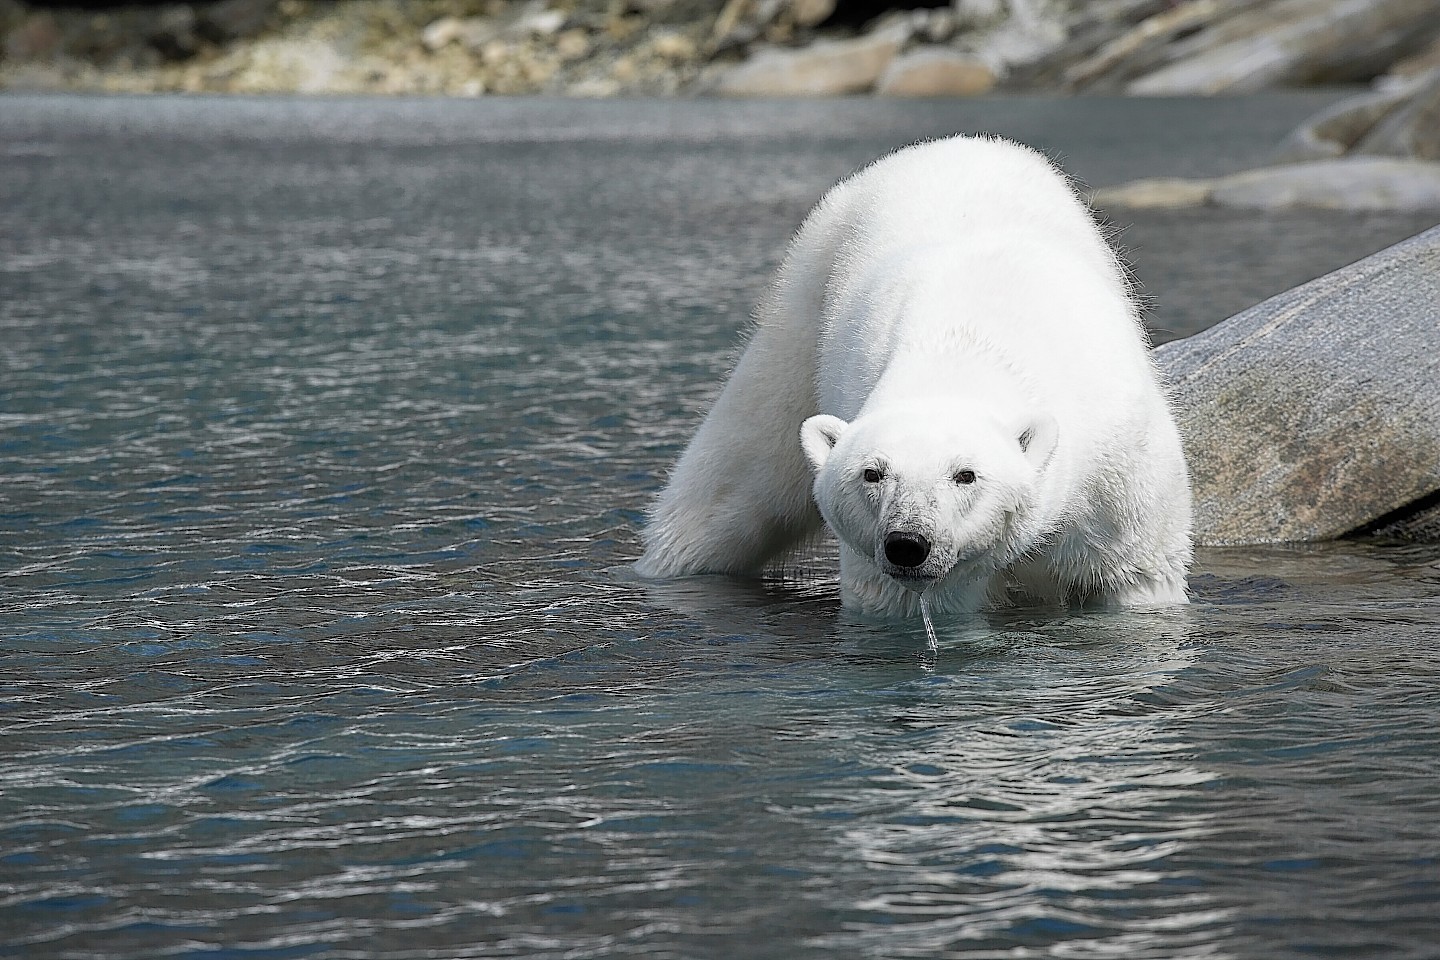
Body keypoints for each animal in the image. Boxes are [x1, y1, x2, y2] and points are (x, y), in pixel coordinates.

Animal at [636, 135, 1186, 618]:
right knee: (739, 470)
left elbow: (1134, 575)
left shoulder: (1118, 479)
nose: (908, 544)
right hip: (808, 293)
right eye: (872, 473)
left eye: (966, 474)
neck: (967, 345)